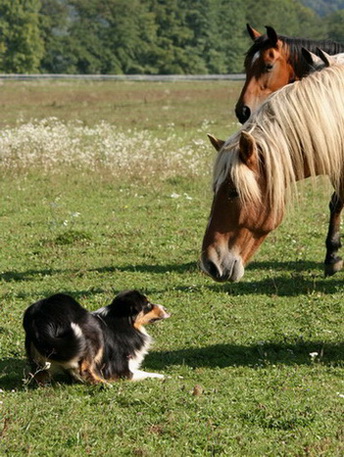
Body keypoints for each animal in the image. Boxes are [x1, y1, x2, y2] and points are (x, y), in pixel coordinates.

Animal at [22, 290, 170, 382]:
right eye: (148, 305)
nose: (166, 309)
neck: (123, 322)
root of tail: (42, 316)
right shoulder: (120, 370)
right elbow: (147, 373)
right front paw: (167, 377)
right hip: (92, 335)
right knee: (86, 368)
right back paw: (104, 385)